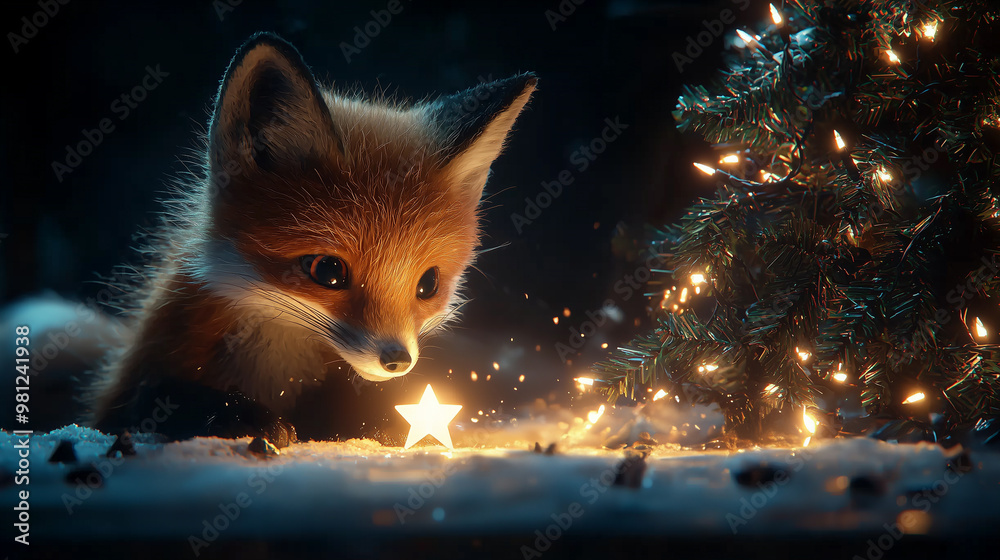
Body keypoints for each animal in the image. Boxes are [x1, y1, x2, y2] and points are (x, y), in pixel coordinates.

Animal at [82, 32, 536, 446]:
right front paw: (241, 417)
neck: (275, 361)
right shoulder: (137, 380)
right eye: (328, 271)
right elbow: (163, 398)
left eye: (428, 284)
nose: (397, 360)